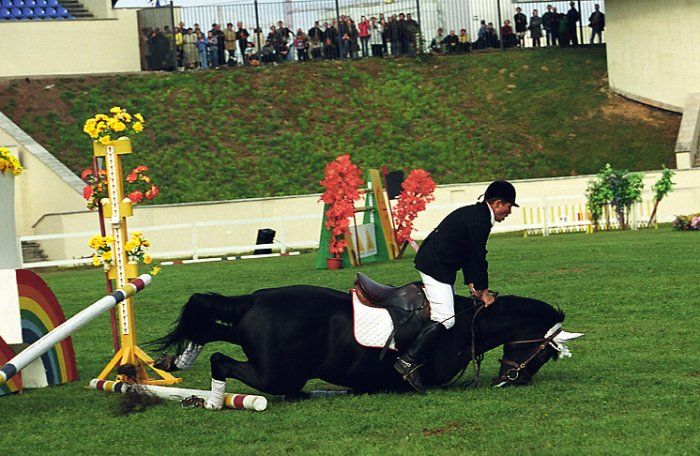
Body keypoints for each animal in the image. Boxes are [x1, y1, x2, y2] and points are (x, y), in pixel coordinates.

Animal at [150, 272, 584, 408]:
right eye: (544, 355)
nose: (513, 379)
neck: (469, 325)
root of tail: (254, 300)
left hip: (257, 346)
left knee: (211, 330)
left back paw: (179, 361)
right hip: (277, 373)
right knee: (222, 361)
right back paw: (212, 399)